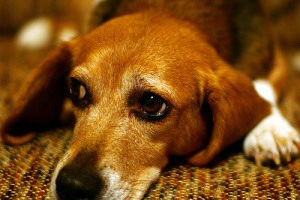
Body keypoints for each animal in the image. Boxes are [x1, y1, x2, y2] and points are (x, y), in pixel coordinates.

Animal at [0, 0, 300, 200]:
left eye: (152, 103)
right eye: (76, 89)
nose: (72, 186)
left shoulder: (273, 60)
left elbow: (261, 89)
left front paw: (270, 131)